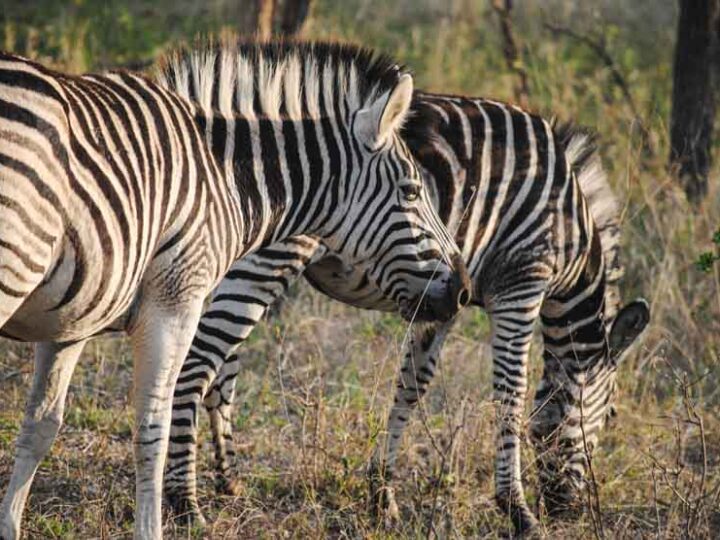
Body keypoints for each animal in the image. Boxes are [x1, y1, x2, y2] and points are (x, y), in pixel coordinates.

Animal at [0, 41, 470, 540]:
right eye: (411, 191)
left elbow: (40, 426)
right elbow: (153, 429)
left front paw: (10, 525)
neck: (224, 176)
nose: (463, 290)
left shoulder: (73, 321)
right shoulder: (175, 301)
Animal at [162, 91, 650, 534]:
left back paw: (228, 480)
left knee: (222, 367)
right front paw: (516, 509)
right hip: (266, 258)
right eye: (610, 415)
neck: (571, 233)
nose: (571, 511)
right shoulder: (521, 283)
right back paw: (185, 502)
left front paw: (382, 494)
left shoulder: (445, 296)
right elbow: (511, 393)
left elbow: (413, 384)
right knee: (199, 362)